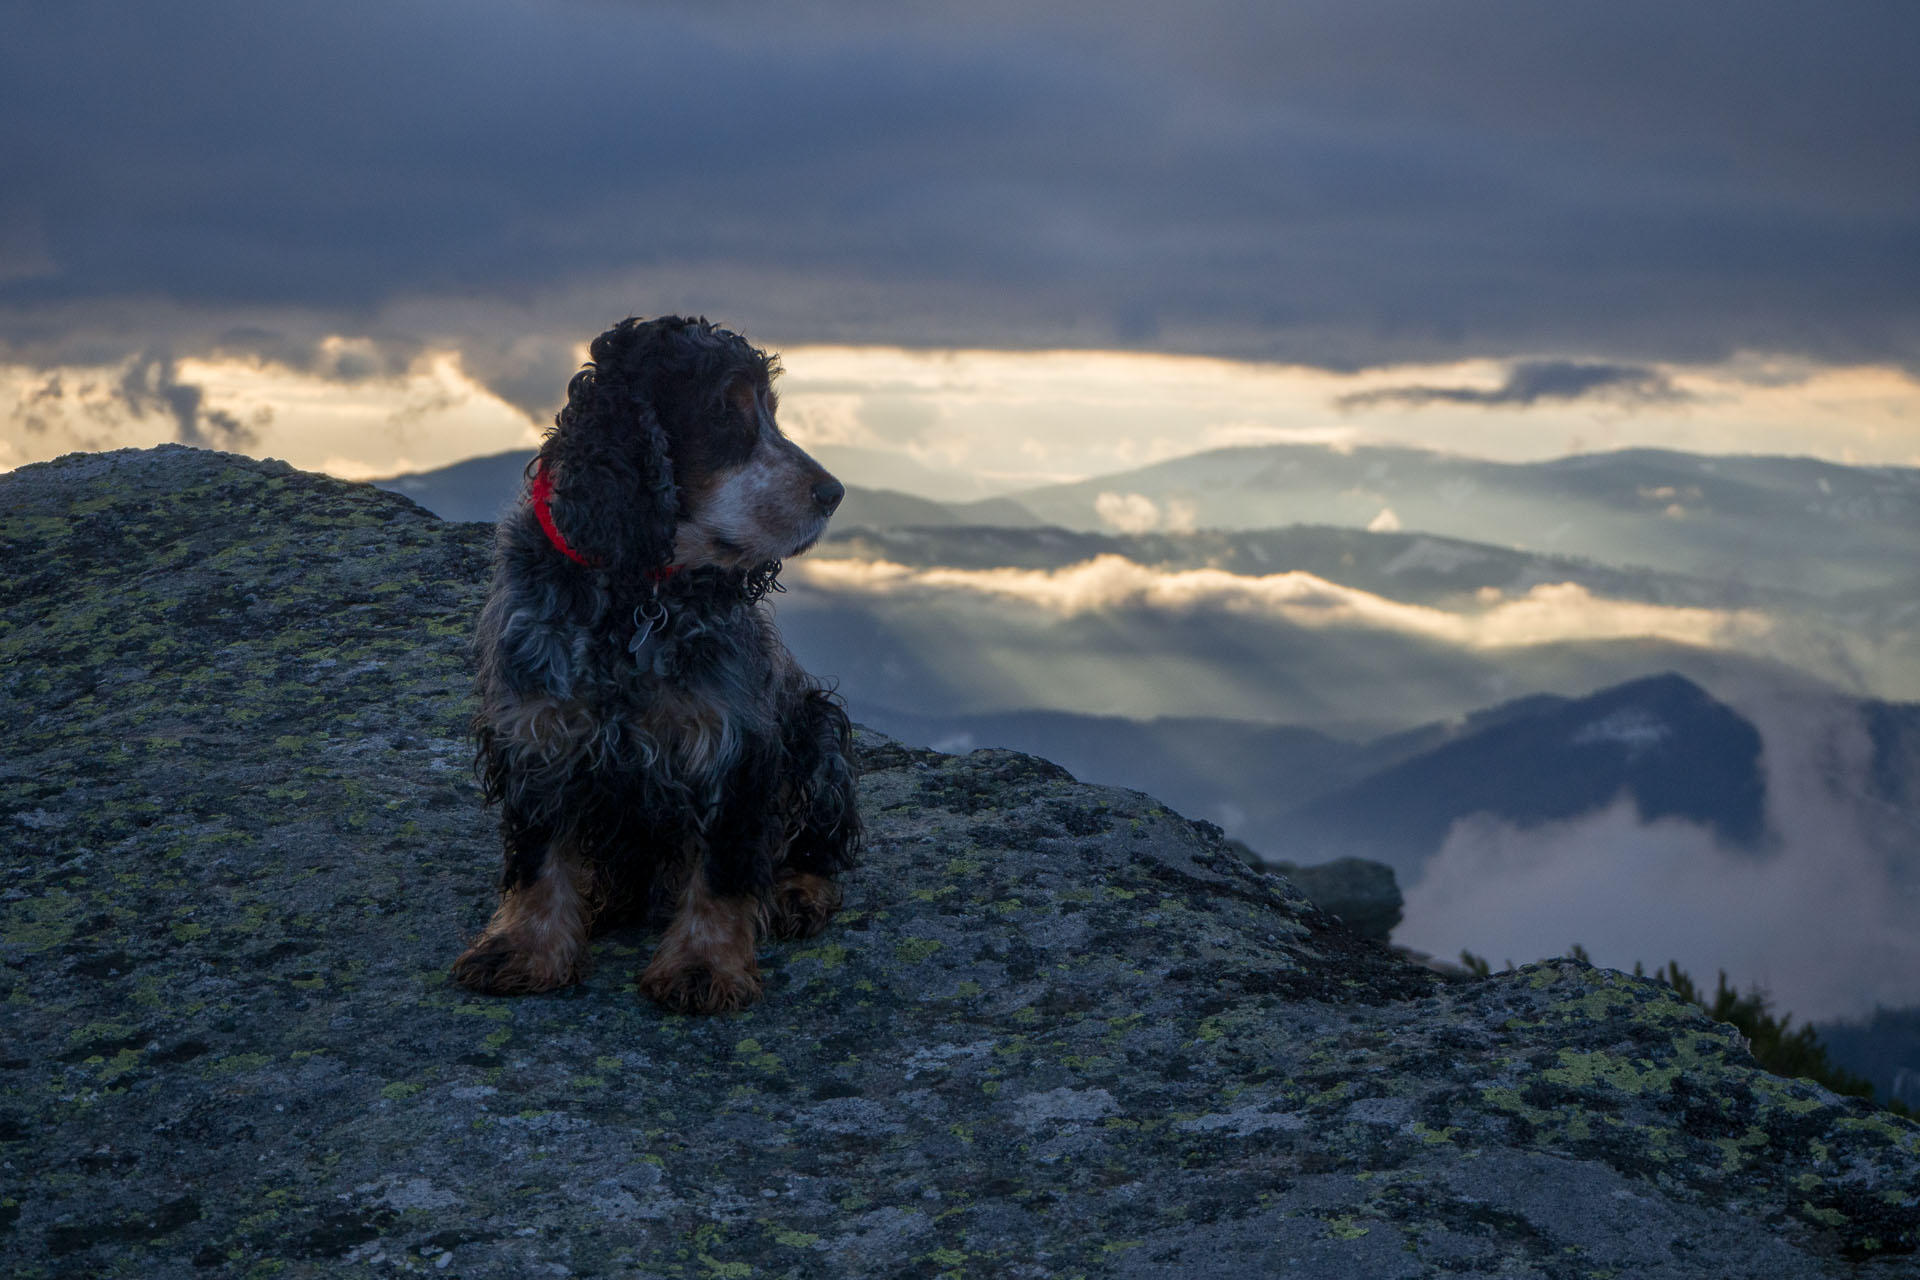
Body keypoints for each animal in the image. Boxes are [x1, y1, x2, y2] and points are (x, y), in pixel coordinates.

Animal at [453, 314, 860, 1013]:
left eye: (771, 413)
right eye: (724, 412)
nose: (832, 493)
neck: (634, 598)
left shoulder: (734, 739)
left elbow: (723, 871)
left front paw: (703, 965)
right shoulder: (535, 727)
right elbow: (537, 855)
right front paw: (523, 949)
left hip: (818, 729)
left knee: (815, 844)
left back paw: (795, 891)